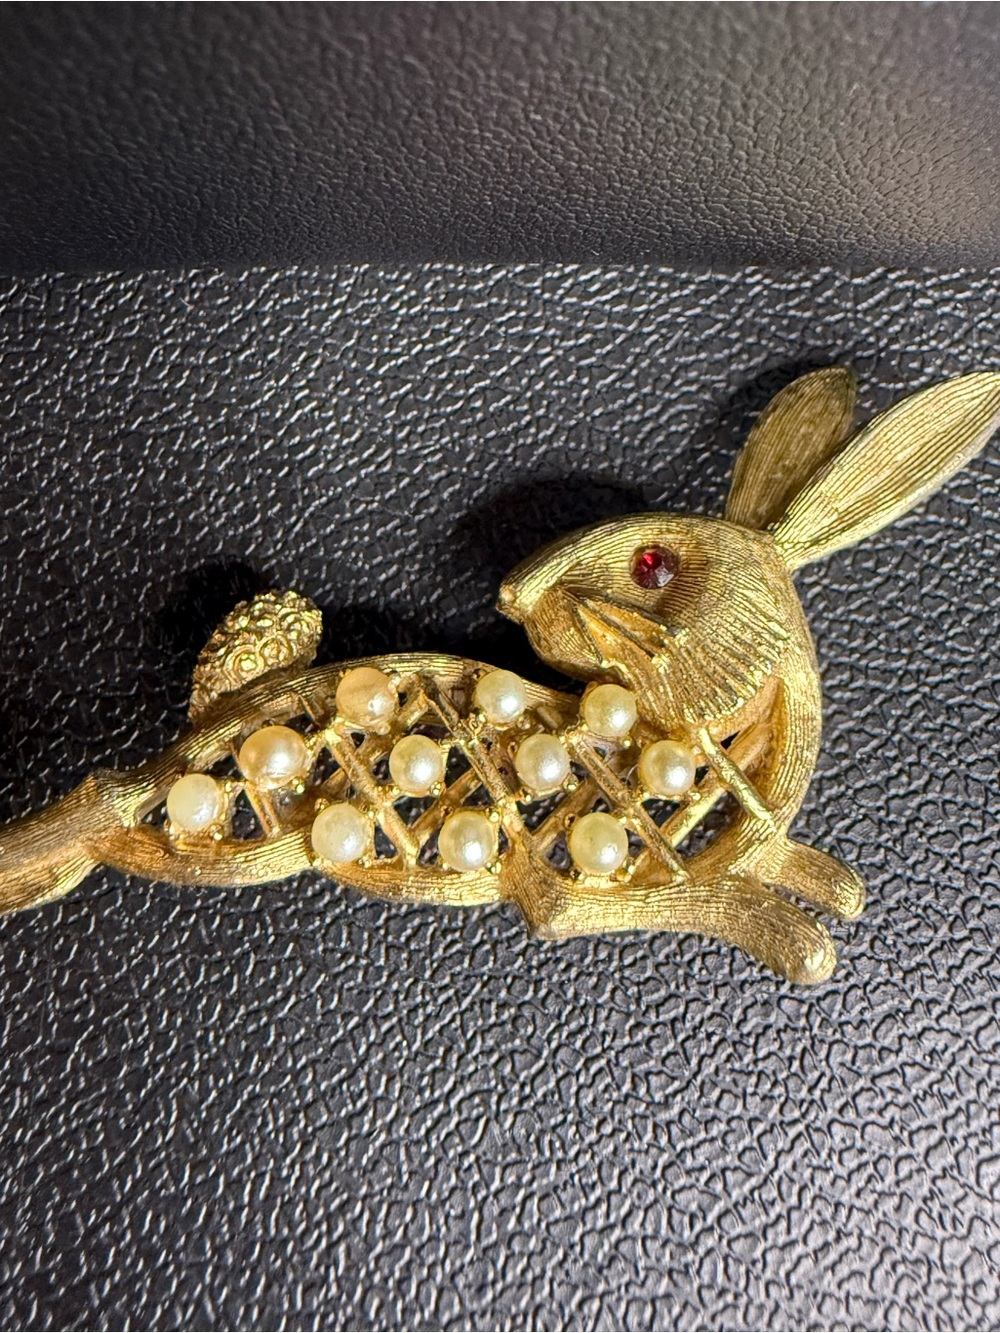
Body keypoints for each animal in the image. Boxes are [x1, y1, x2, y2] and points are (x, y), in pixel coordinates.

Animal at [1, 368, 997, 984]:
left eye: (651, 564)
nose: (513, 590)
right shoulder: (572, 890)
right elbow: (721, 903)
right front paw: (793, 932)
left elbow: (800, 866)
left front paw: (829, 881)